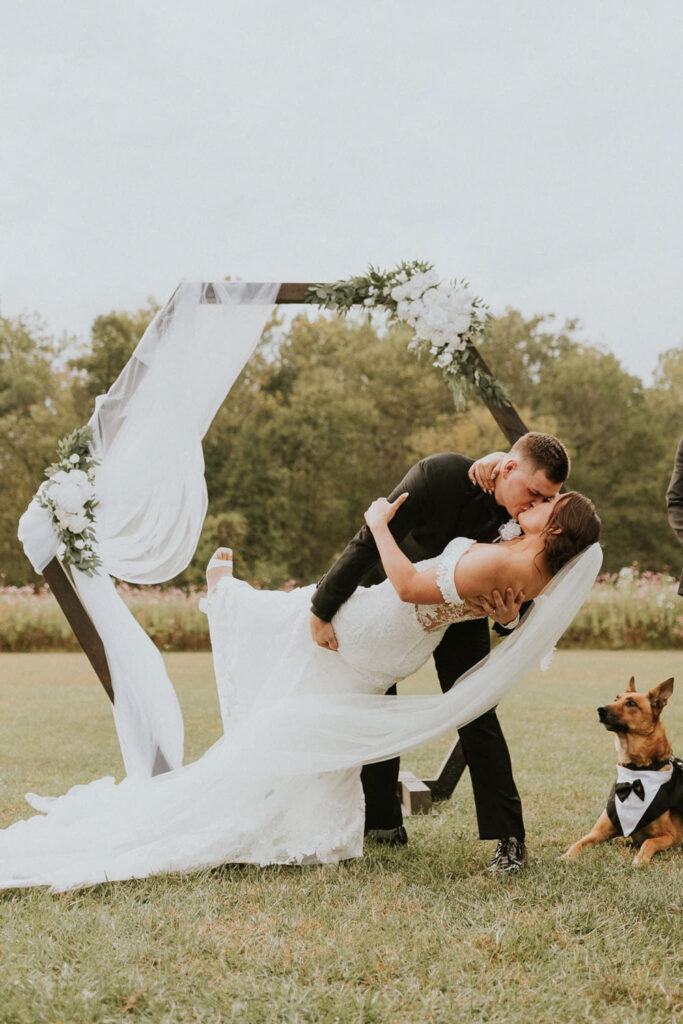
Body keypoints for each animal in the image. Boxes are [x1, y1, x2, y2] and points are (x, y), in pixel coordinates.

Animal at [565, 675, 679, 868]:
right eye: (615, 699)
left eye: (631, 703)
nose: (600, 709)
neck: (637, 771)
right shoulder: (598, 832)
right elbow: (578, 842)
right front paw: (565, 857)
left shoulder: (670, 836)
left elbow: (649, 841)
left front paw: (640, 859)